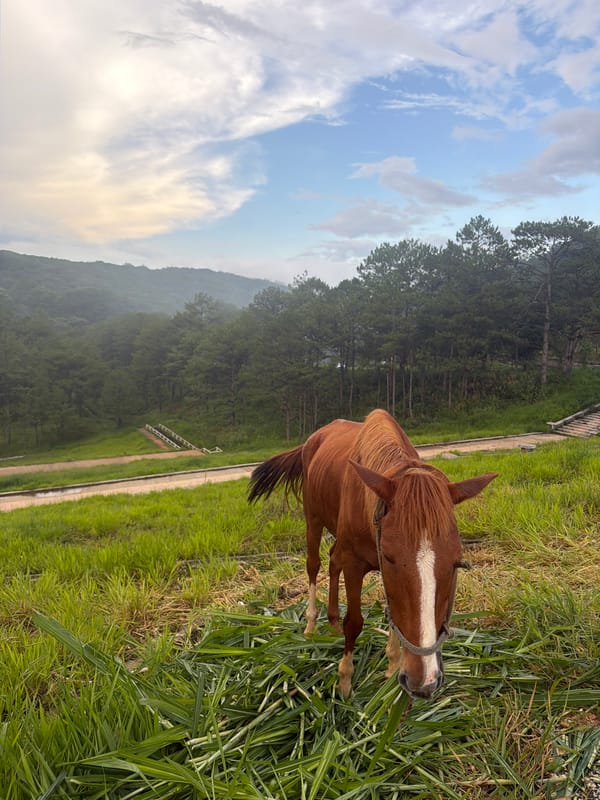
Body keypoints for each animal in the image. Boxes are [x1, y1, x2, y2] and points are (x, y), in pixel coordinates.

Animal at [247, 409, 496, 699]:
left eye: (457, 562)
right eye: (389, 556)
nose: (424, 681)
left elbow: (394, 615)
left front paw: (392, 665)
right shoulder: (355, 563)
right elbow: (354, 622)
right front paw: (345, 680)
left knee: (333, 561)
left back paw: (332, 621)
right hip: (313, 519)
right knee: (314, 564)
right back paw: (311, 625)